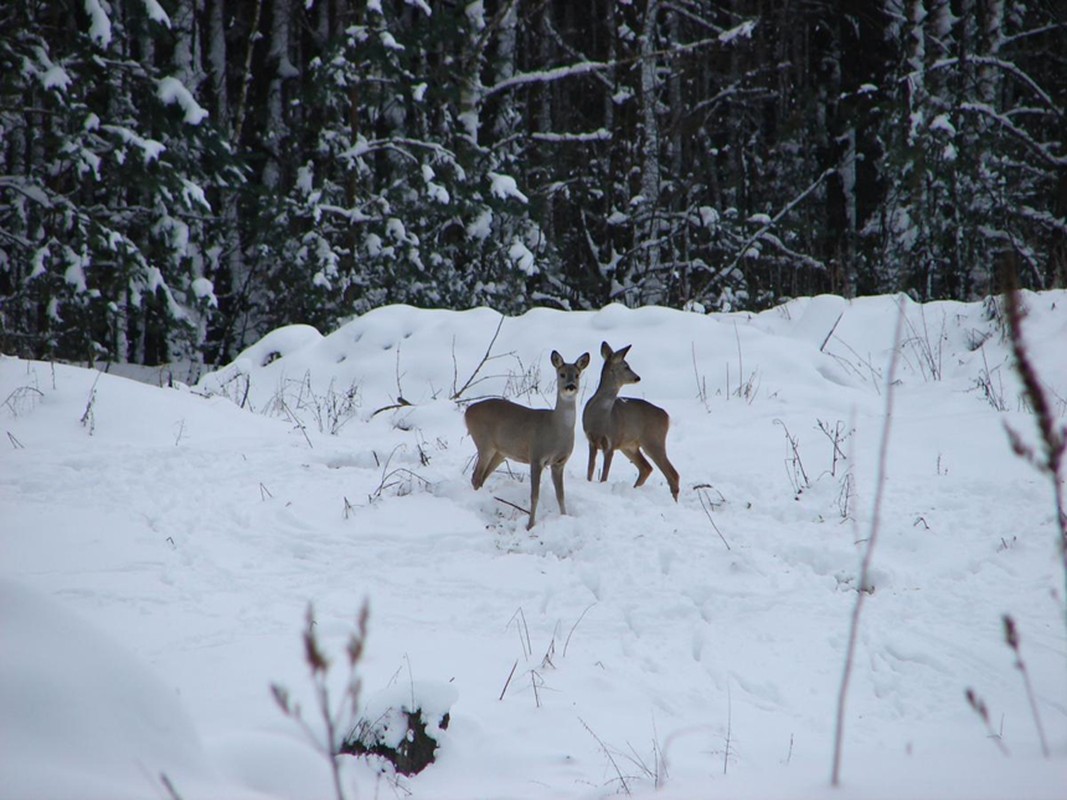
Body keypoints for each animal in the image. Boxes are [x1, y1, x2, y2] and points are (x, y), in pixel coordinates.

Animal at [465, 352, 593, 533]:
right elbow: (534, 495)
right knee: (476, 476)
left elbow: (560, 495)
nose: (570, 386)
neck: (556, 429)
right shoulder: (536, 457)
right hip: (484, 443)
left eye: (576, 374)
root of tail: (467, 411)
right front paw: (530, 525)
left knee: (481, 477)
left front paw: (565, 517)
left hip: (500, 452)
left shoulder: (559, 463)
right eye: (561, 374)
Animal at [580, 343, 678, 501]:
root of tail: (666, 416)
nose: (637, 377)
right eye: (626, 366)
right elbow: (590, 470)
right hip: (630, 446)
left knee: (672, 473)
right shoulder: (591, 440)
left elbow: (604, 475)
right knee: (647, 467)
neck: (601, 417)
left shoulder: (611, 441)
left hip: (653, 440)